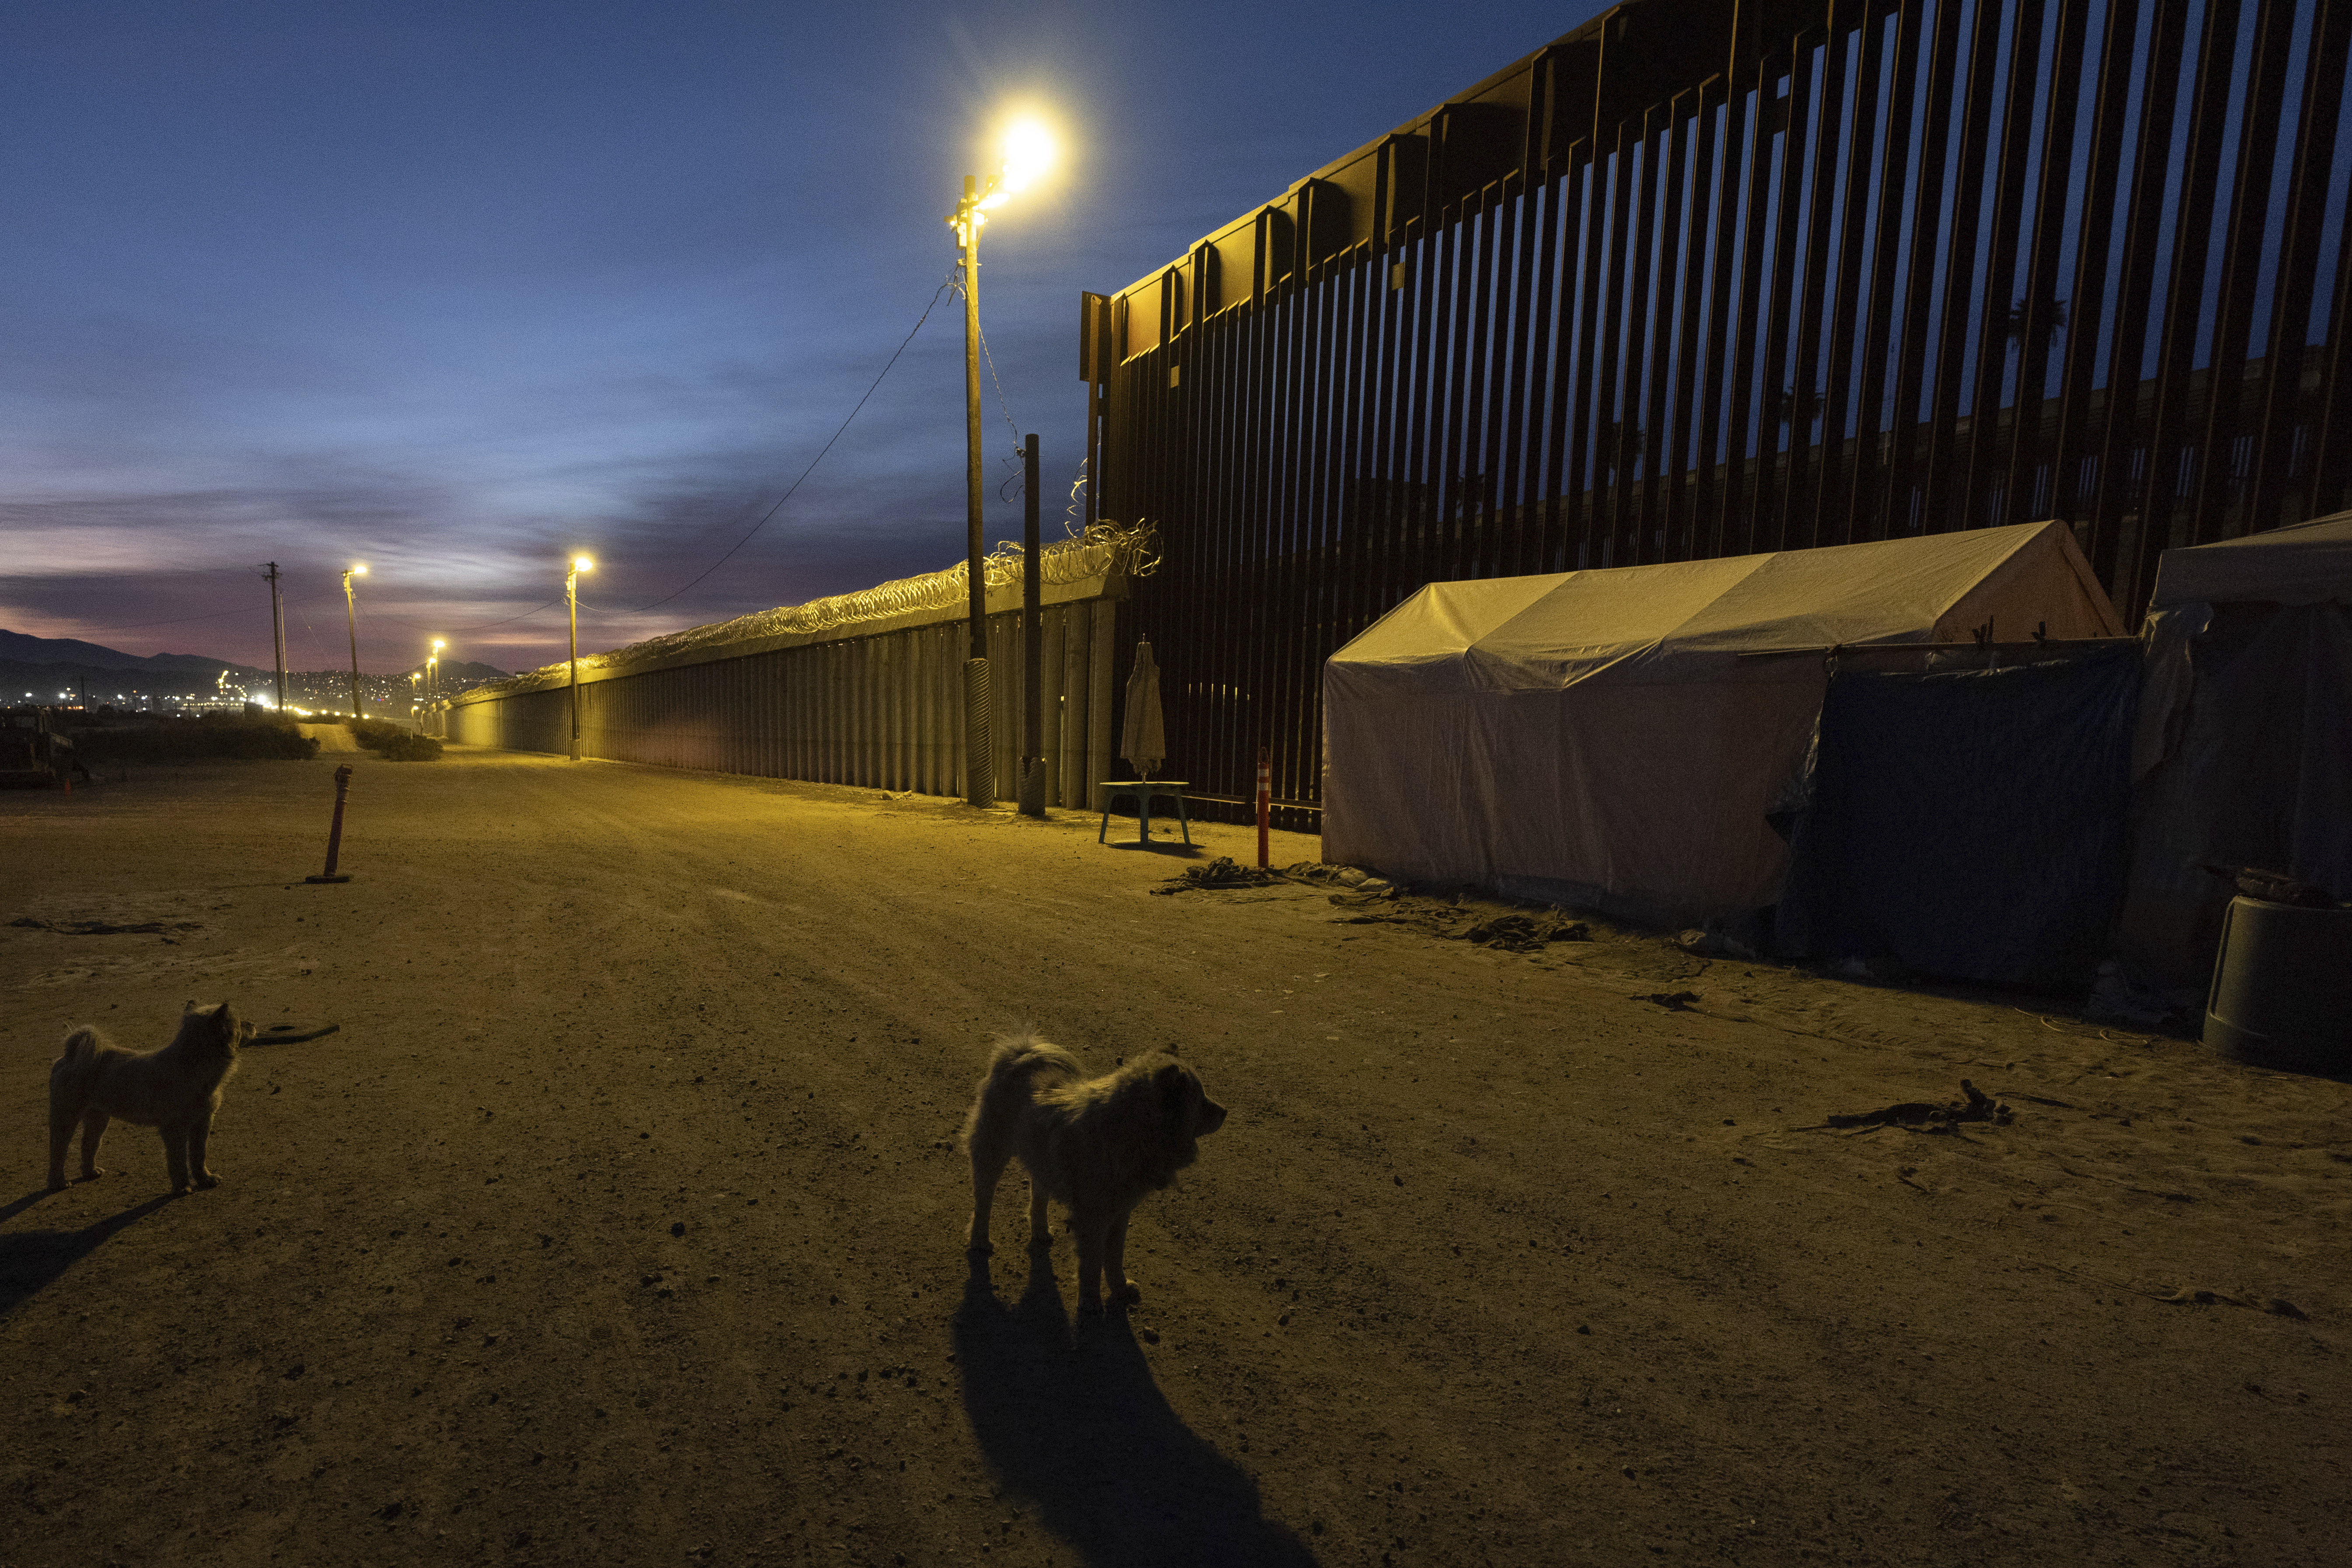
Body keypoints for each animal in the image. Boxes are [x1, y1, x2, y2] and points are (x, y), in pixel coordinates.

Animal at [47, 1001, 250, 1194]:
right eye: (240, 1023)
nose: (253, 1023)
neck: (192, 1064)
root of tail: (69, 1057)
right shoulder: (174, 1129)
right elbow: (178, 1161)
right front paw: (182, 1187)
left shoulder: (203, 1123)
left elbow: (199, 1156)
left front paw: (205, 1179)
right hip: (66, 1118)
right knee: (58, 1151)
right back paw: (58, 1183)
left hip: (98, 1119)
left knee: (88, 1143)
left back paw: (90, 1172)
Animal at [959, 1029, 1232, 1316]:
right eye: (1201, 1101)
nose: (1226, 1112)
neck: (1130, 1132)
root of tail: (1018, 1056)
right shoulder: (1093, 1220)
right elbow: (1091, 1265)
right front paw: (1090, 1302)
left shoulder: (1120, 1214)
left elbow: (1114, 1259)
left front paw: (1121, 1289)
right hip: (992, 1153)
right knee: (984, 1202)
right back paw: (980, 1240)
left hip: (1043, 1161)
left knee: (1039, 1195)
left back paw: (1041, 1232)